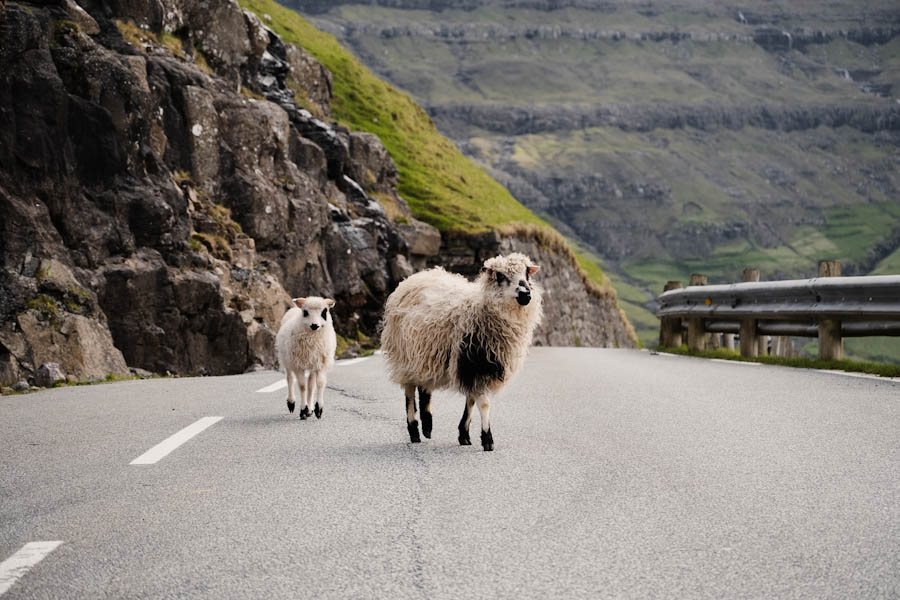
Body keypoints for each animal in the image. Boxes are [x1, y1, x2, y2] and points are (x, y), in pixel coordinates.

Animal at [380, 252, 540, 450]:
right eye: (500, 275)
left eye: (526, 273)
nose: (526, 294)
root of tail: (418, 275)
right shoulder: (472, 364)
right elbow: (483, 403)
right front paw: (487, 439)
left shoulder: (472, 366)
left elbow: (470, 400)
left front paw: (464, 434)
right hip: (405, 356)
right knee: (409, 391)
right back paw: (415, 430)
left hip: (427, 354)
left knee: (424, 387)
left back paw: (427, 426)